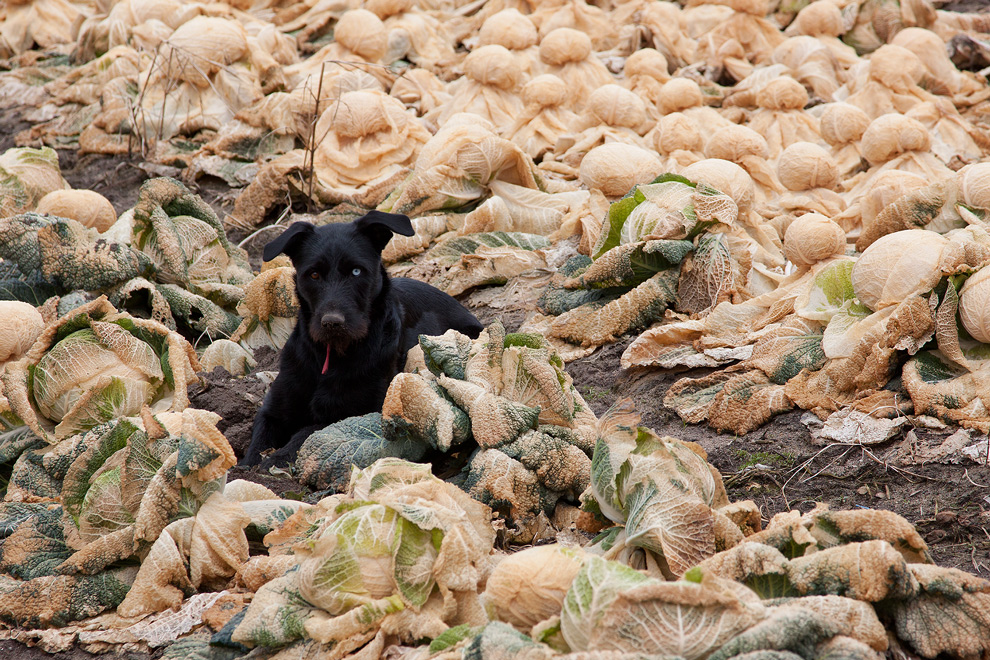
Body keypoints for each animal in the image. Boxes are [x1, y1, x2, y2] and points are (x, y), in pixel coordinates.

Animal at [242, 209, 486, 466]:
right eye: (314, 274)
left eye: (356, 271)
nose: (332, 323)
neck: (332, 355)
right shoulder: (273, 411)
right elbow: (256, 444)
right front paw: (248, 467)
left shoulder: (361, 412)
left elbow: (307, 433)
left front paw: (275, 460)